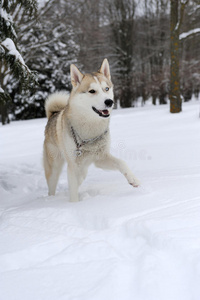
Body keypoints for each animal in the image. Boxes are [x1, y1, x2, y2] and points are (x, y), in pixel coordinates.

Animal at [43, 58, 139, 202]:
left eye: (106, 88)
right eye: (92, 91)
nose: (109, 102)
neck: (90, 128)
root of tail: (53, 115)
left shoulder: (101, 158)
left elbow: (121, 162)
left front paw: (133, 179)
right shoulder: (72, 165)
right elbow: (73, 192)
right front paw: (74, 204)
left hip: (83, 169)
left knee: (80, 177)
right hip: (54, 167)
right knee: (52, 187)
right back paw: (51, 199)